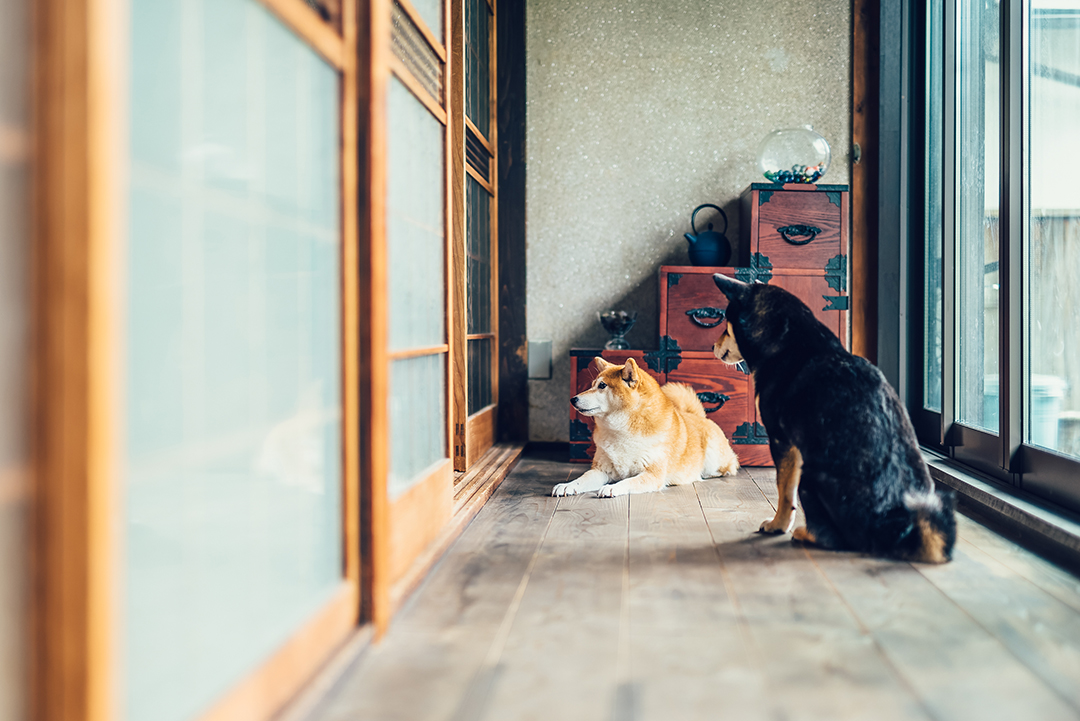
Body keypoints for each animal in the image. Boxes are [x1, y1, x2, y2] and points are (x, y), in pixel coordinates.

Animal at [552, 356, 738, 500]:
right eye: (591, 385)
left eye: (602, 386)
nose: (573, 399)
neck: (621, 430)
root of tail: (700, 416)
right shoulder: (601, 469)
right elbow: (582, 479)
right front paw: (567, 485)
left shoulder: (652, 474)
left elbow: (627, 481)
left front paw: (612, 487)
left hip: (713, 457)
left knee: (730, 467)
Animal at [712, 273, 959, 561]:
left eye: (725, 325)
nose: (712, 345)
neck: (792, 342)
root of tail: (896, 529)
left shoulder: (782, 441)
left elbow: (784, 491)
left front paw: (777, 525)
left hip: (809, 476)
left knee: (836, 539)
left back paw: (805, 533)